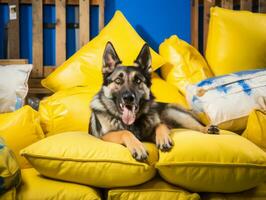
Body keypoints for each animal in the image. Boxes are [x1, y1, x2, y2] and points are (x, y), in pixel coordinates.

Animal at [89, 41, 218, 161]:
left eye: (138, 81)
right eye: (118, 81)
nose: (128, 98)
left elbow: (160, 125)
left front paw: (163, 138)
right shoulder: (104, 137)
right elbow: (124, 132)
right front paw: (138, 147)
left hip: (173, 113)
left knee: (197, 126)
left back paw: (208, 128)